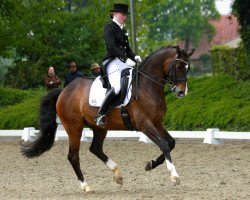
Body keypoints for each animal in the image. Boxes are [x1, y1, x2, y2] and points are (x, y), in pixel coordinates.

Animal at [21, 45, 195, 192]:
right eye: (179, 66)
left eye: (188, 67)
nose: (182, 92)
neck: (147, 85)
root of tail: (64, 90)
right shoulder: (144, 124)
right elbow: (164, 145)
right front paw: (174, 176)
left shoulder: (156, 122)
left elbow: (171, 143)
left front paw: (150, 164)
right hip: (74, 127)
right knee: (73, 156)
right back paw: (86, 186)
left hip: (99, 127)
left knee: (95, 149)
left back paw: (117, 175)